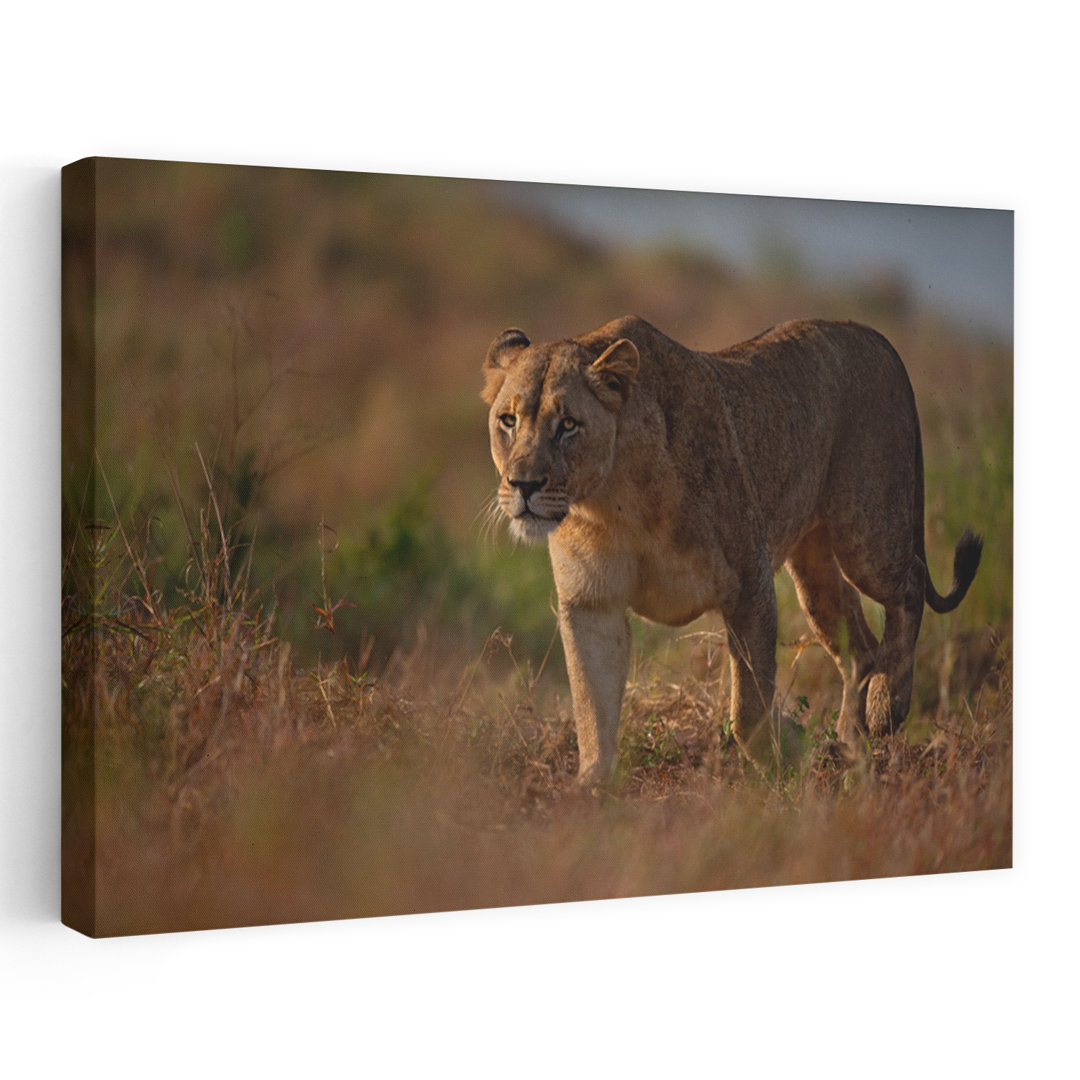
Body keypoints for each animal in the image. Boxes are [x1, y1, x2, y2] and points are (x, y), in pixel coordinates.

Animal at [481, 316, 982, 783]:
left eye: (567, 425)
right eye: (508, 421)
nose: (523, 485)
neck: (609, 500)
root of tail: (879, 339)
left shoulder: (748, 582)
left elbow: (748, 710)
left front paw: (785, 757)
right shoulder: (590, 603)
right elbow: (592, 705)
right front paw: (593, 783)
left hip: (868, 532)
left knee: (909, 586)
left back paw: (886, 705)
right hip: (814, 568)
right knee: (859, 647)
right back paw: (848, 745)